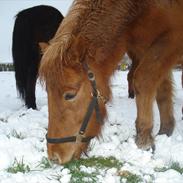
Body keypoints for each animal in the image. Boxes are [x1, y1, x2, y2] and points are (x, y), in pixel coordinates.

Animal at [39, 0, 183, 163]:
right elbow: (162, 88)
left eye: (70, 95)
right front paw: (165, 131)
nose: (54, 157)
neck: (140, 8)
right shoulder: (145, 48)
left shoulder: (172, 39)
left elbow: (143, 79)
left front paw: (144, 140)